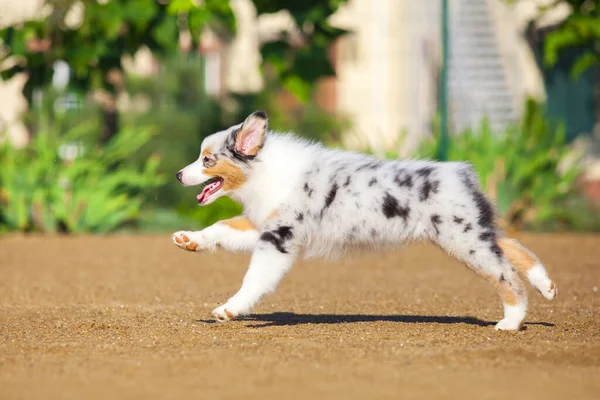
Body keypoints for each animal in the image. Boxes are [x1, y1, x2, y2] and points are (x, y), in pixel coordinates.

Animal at [173, 111, 556, 330]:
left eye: (207, 160)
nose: (178, 175)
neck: (265, 170)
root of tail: (461, 173)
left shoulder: (279, 238)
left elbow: (254, 279)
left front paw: (230, 309)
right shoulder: (265, 227)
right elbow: (224, 228)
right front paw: (190, 239)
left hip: (463, 239)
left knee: (506, 274)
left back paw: (511, 321)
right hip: (472, 231)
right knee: (512, 246)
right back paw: (546, 284)